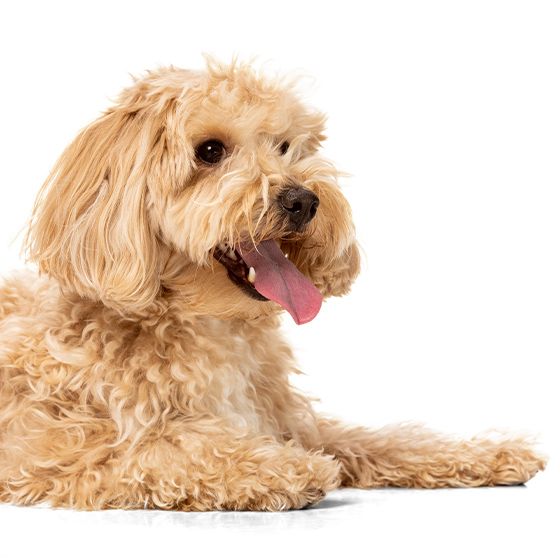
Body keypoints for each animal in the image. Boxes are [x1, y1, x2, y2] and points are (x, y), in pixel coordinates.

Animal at [0, 59, 544, 510]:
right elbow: (165, 453)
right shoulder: (56, 450)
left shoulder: (294, 422)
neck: (209, 327)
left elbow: (386, 439)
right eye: (210, 151)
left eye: (284, 146)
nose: (303, 200)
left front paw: (488, 452)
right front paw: (283, 468)